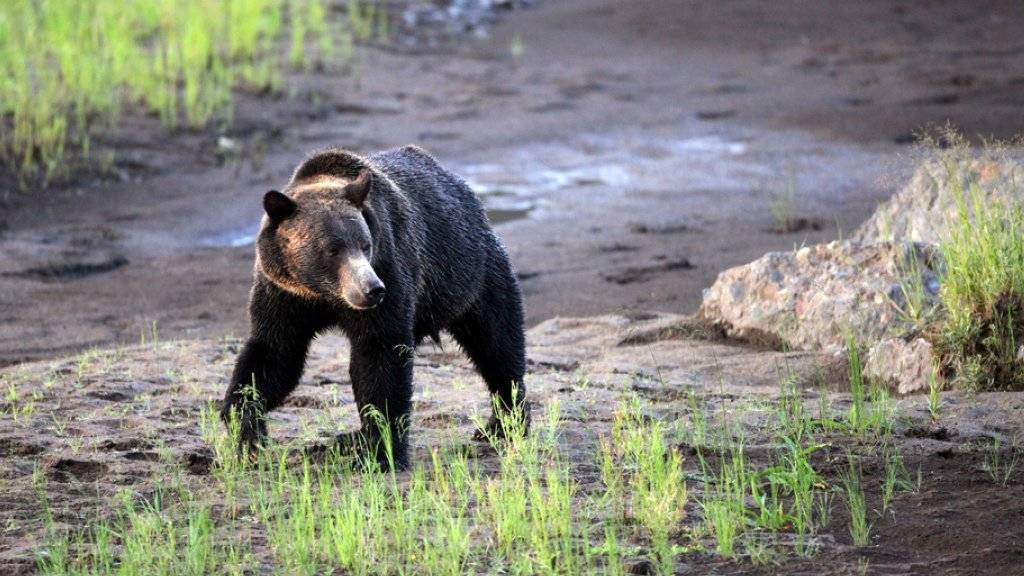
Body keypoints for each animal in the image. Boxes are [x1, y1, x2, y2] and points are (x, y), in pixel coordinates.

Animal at [222, 143, 528, 467]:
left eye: (364, 244)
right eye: (332, 249)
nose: (372, 290)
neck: (323, 294)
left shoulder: (389, 270)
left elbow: (380, 355)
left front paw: (382, 452)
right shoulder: (284, 295)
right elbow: (274, 355)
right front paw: (246, 430)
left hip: (472, 274)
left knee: (496, 344)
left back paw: (502, 425)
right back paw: (347, 439)